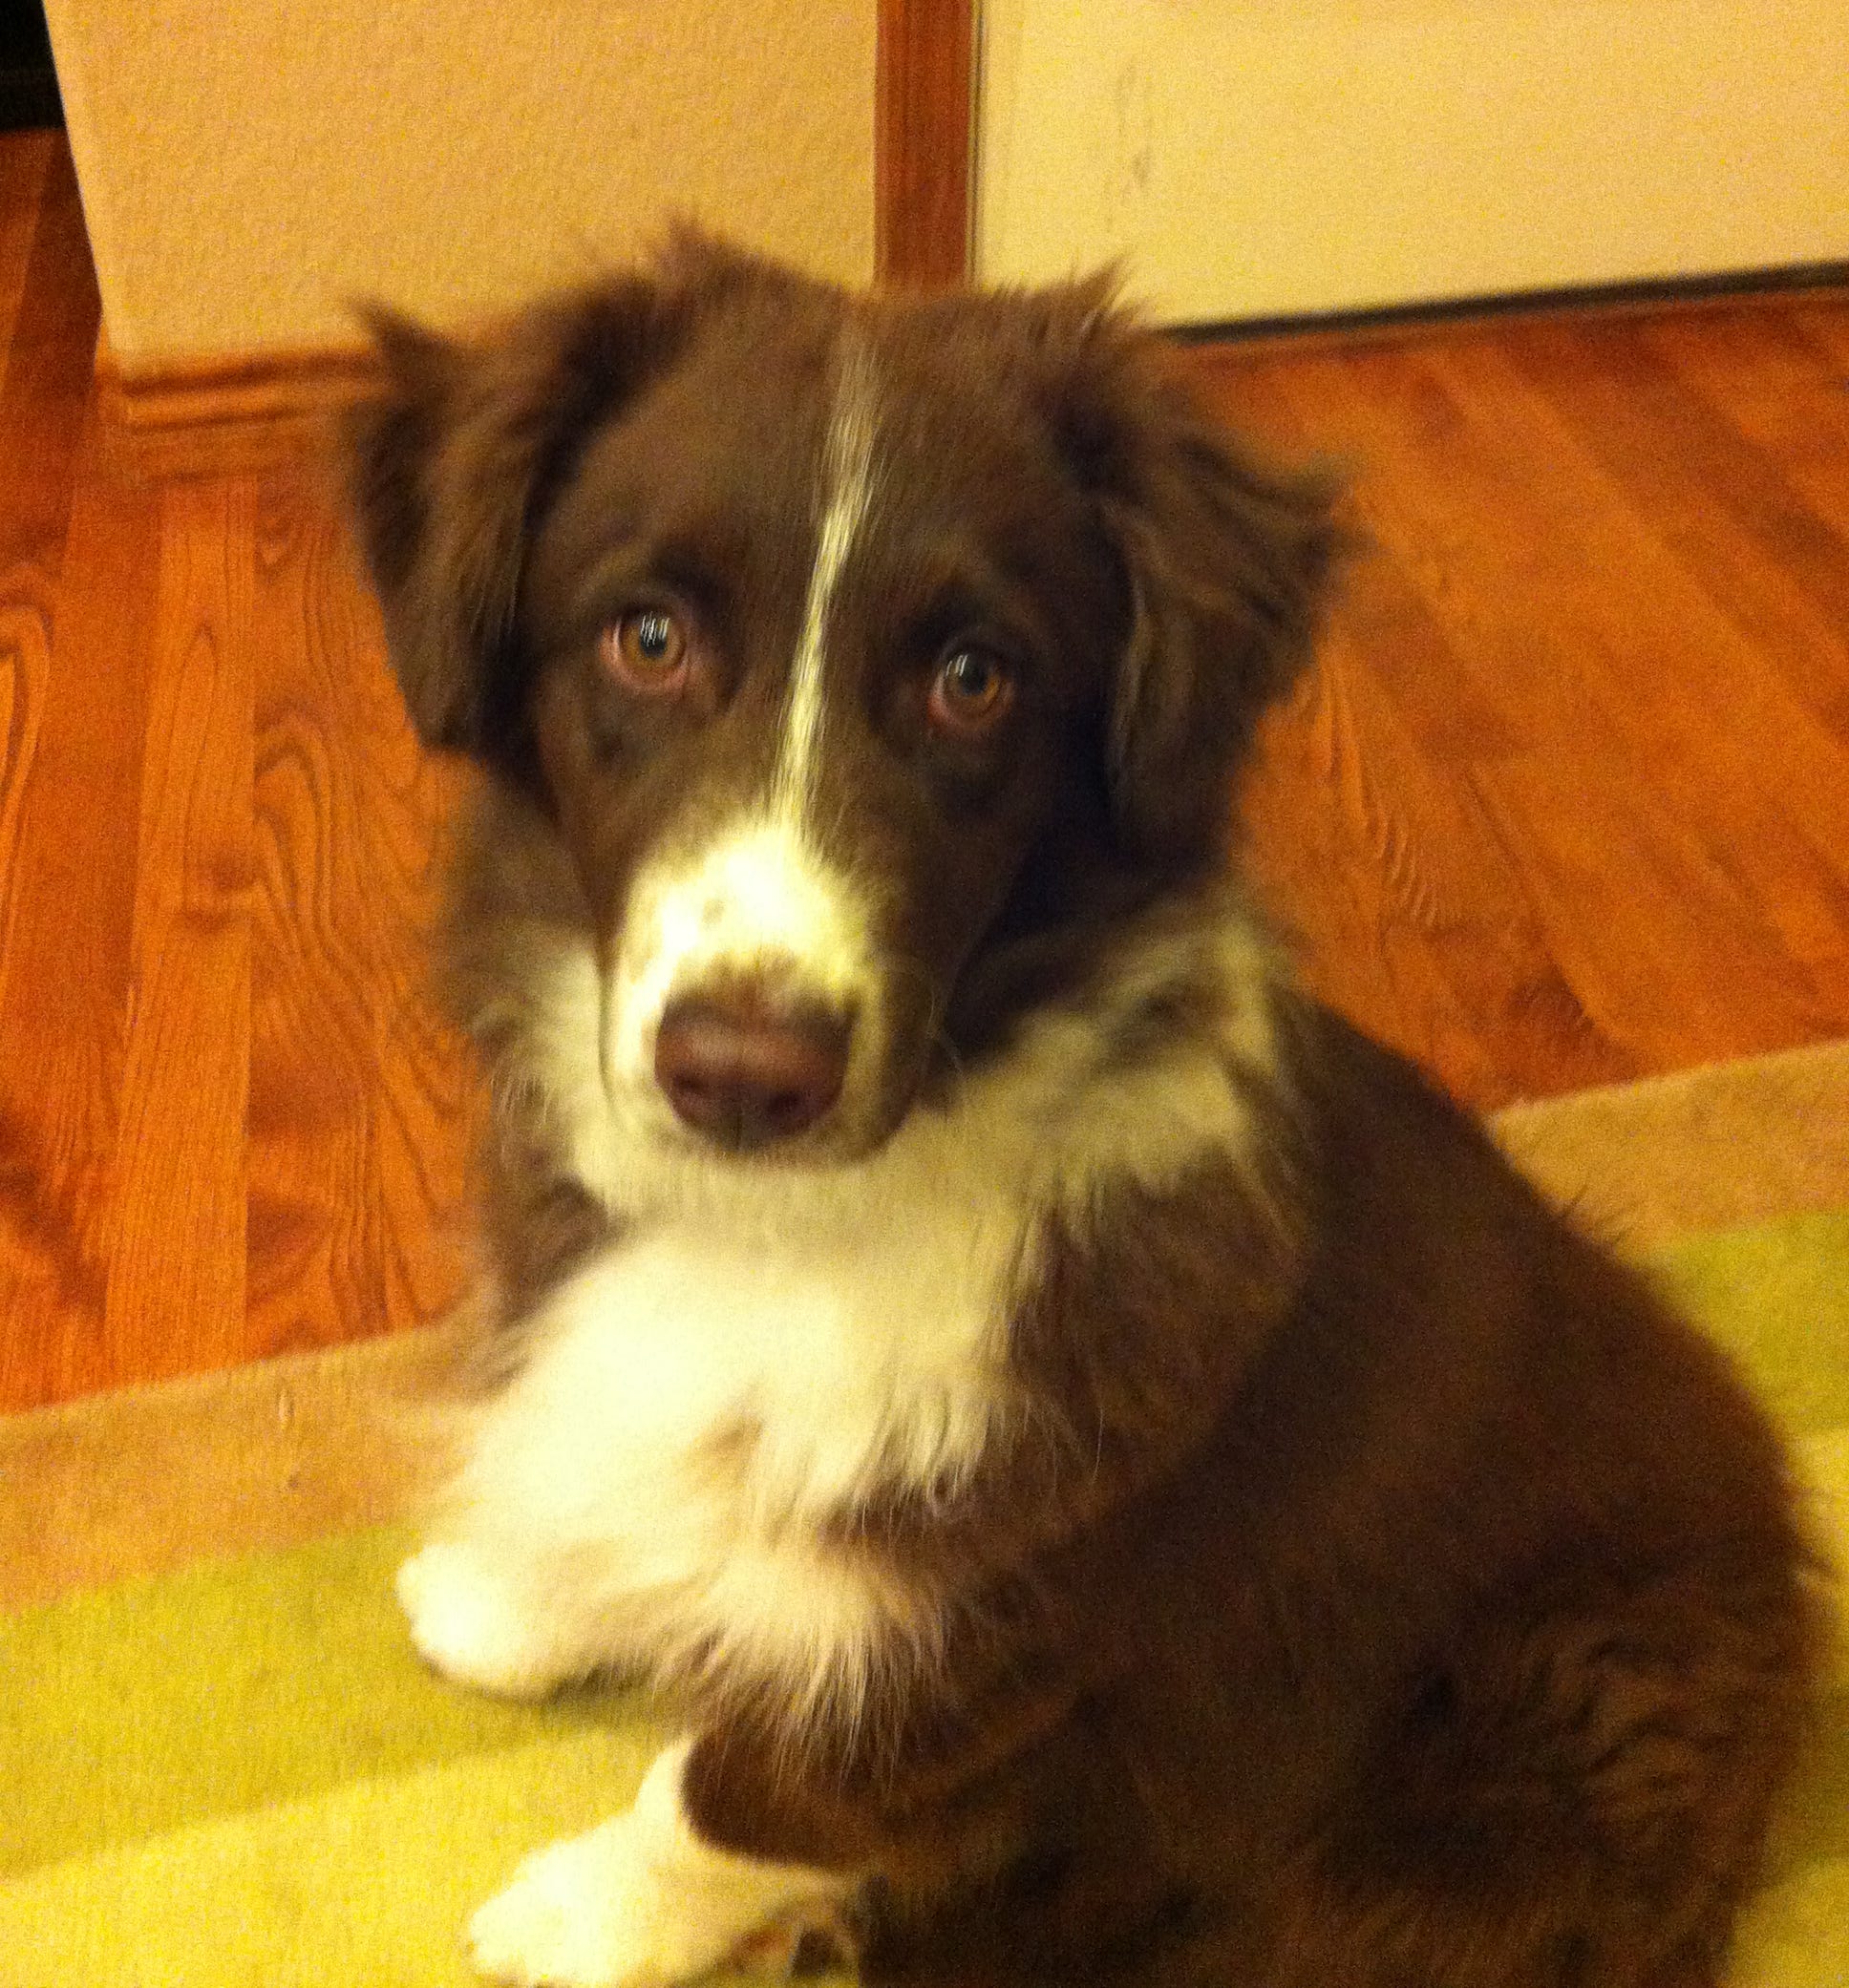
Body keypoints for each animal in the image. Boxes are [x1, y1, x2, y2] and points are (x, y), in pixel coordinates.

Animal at [345, 234, 1823, 1988]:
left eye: (974, 679)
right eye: (647, 637)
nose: (745, 1074)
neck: (780, 1222)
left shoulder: (981, 1644)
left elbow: (726, 1796)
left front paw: (587, 1914)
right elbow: (618, 1466)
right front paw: (514, 1602)